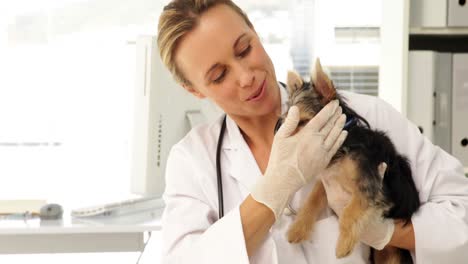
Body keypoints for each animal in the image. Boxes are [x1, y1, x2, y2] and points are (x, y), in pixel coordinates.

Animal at [284, 59, 422, 264]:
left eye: (302, 122)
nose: (279, 132)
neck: (344, 142)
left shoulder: (369, 185)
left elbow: (349, 213)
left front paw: (343, 245)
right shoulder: (327, 182)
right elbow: (312, 200)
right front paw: (297, 229)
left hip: (394, 255)